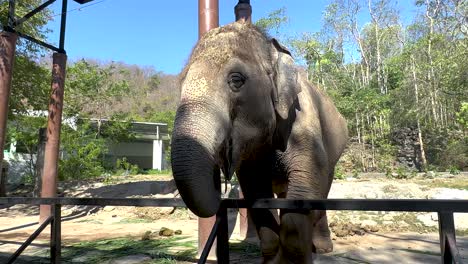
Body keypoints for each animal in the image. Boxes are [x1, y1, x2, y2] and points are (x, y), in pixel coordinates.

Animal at [172, 21, 348, 262]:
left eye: (236, 80)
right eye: (180, 83)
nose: (220, 181)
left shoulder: (304, 121)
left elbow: (305, 187)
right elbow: (257, 194)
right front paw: (273, 259)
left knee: (321, 193)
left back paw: (322, 249)